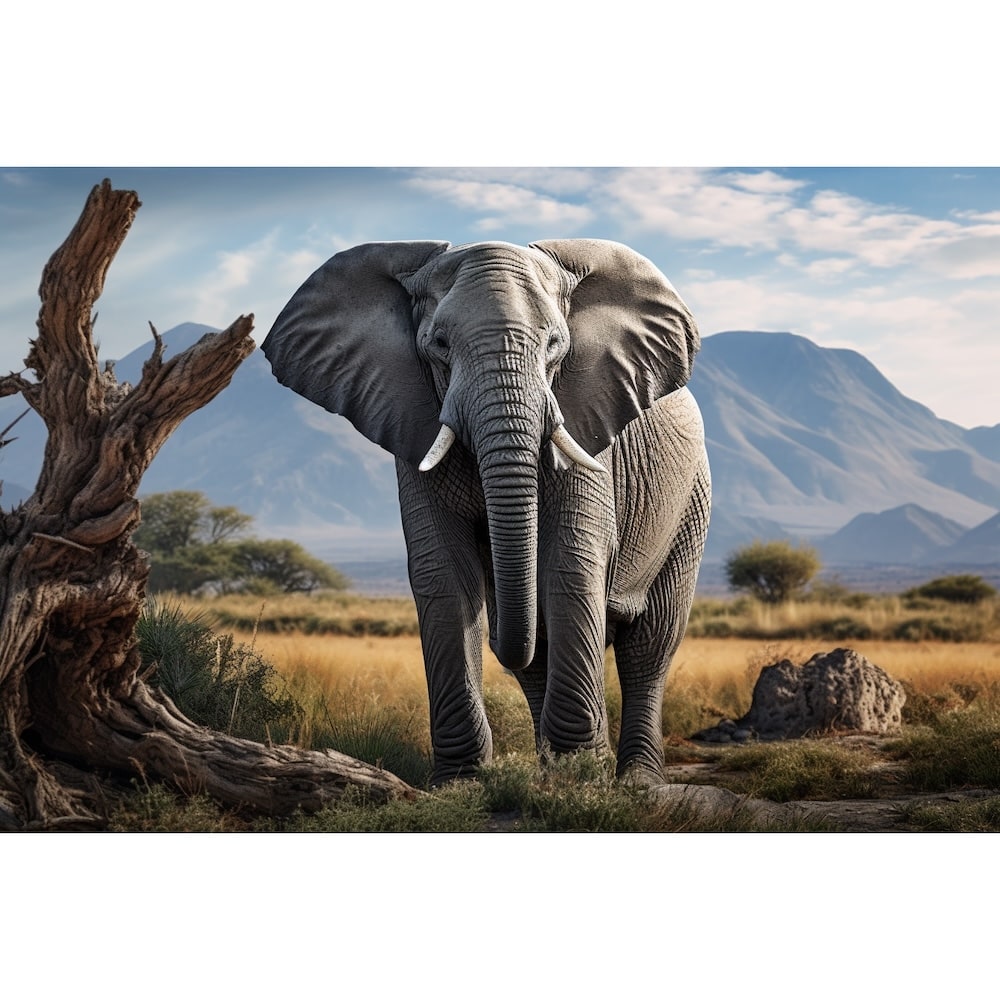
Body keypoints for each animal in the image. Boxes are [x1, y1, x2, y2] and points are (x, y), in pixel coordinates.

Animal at [261, 238, 711, 785]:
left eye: (555, 345)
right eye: (439, 345)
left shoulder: (588, 429)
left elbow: (571, 561)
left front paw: (583, 773)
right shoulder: (413, 423)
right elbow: (444, 571)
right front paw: (462, 780)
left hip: (691, 500)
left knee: (650, 644)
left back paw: (636, 779)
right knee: (538, 656)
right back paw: (548, 769)